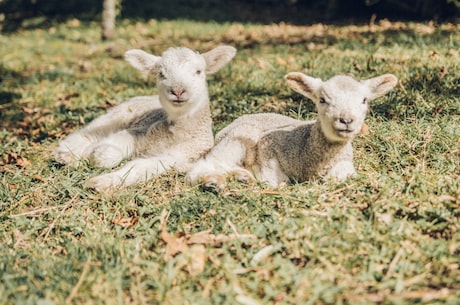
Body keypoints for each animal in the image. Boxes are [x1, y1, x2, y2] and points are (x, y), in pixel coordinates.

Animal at [54, 44, 237, 191]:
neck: (176, 134)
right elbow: (111, 147)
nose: (178, 91)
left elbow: (139, 167)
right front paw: (95, 154)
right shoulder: (139, 132)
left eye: (198, 72)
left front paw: (101, 181)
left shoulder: (179, 158)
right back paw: (65, 154)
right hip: (117, 115)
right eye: (161, 74)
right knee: (88, 133)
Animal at [185, 72, 398, 189]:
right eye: (322, 99)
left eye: (364, 100)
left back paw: (242, 177)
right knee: (203, 166)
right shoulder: (269, 147)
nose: (346, 120)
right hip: (237, 139)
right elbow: (274, 178)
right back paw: (214, 182)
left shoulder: (345, 164)